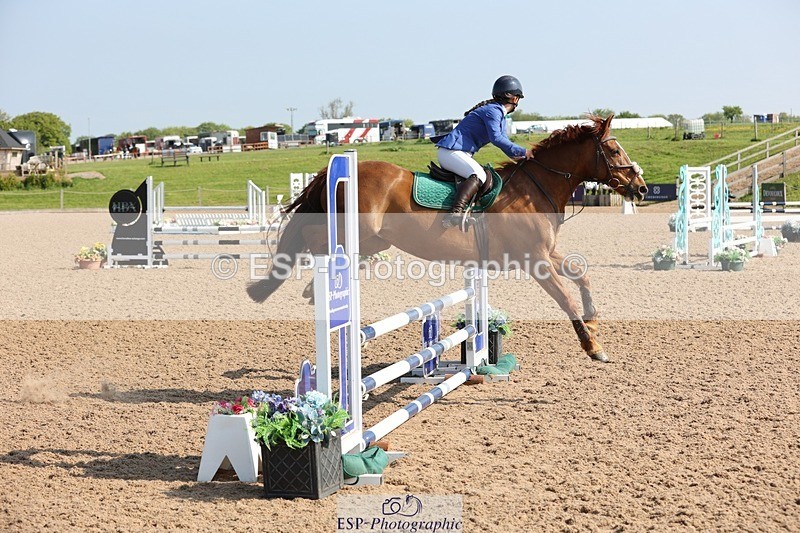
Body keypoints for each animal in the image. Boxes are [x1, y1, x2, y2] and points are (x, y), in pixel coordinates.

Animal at [247, 114, 647, 362]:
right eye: (614, 151)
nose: (641, 188)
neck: (535, 188)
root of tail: (343, 168)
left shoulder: (547, 253)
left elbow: (582, 274)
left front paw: (593, 320)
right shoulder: (535, 259)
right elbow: (565, 298)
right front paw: (593, 346)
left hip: (376, 239)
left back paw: (305, 287)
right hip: (359, 229)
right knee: (313, 235)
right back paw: (313, 283)